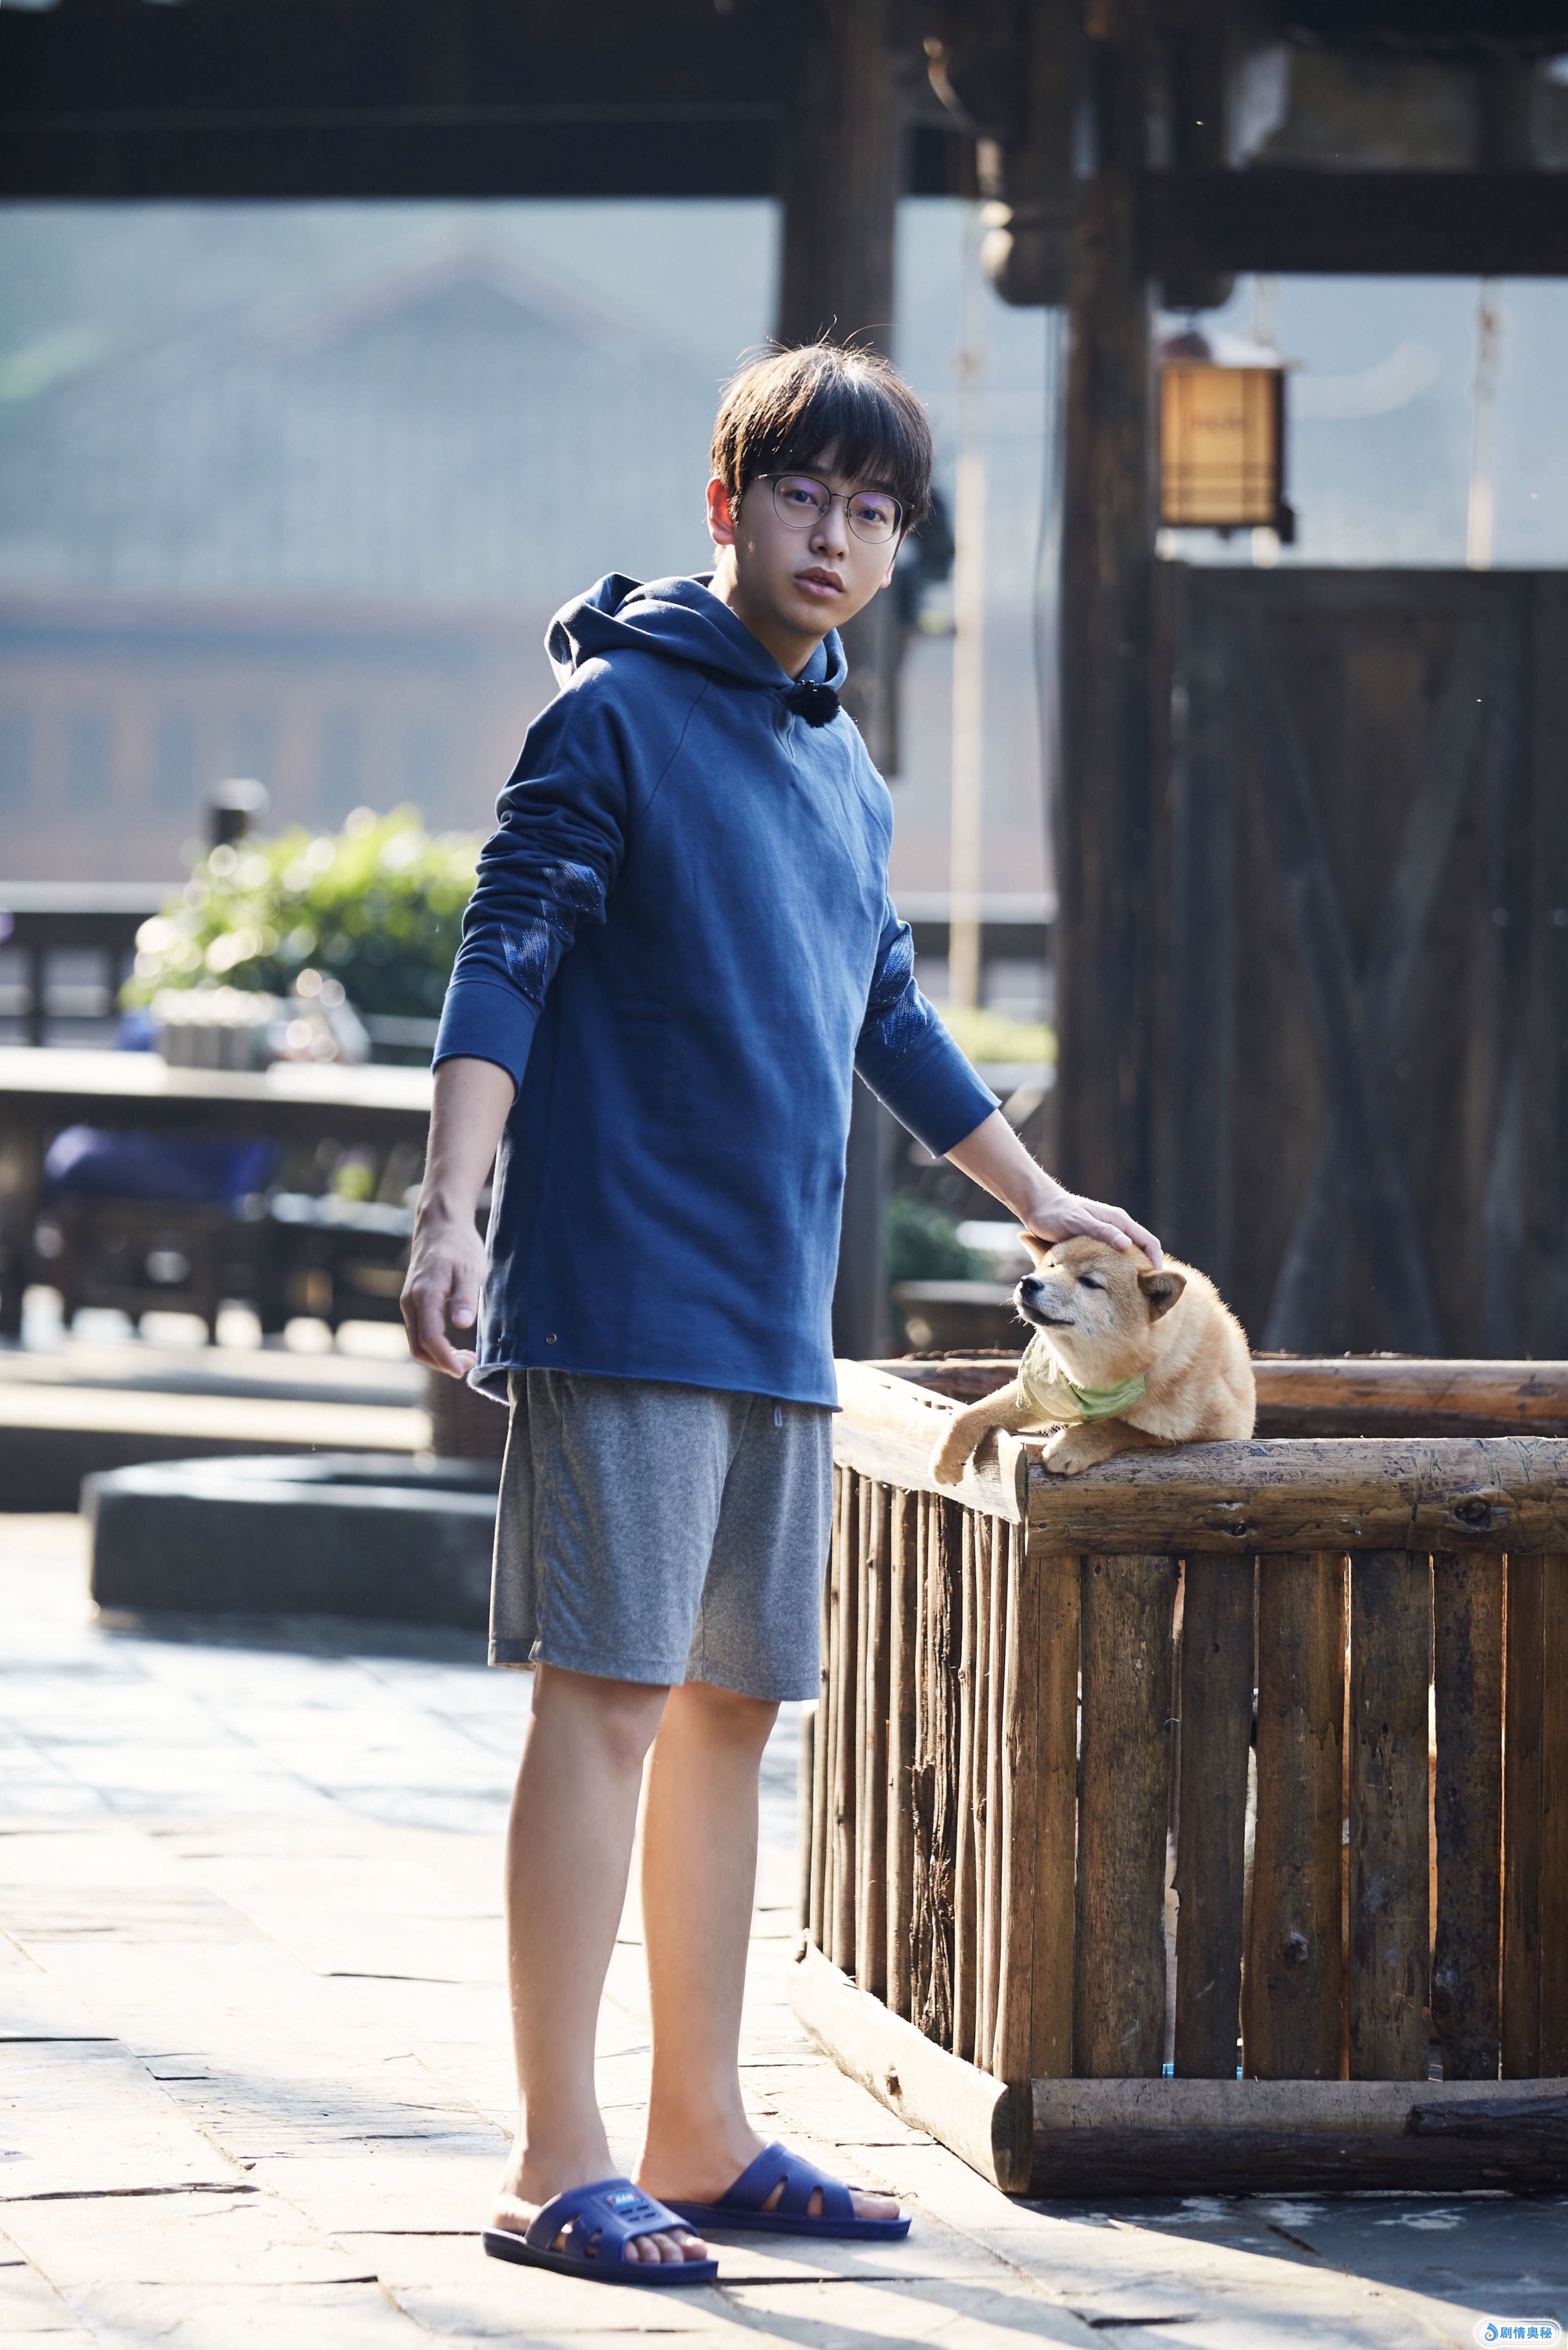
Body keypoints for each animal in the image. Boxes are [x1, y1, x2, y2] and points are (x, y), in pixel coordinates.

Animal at [930, 1232, 1255, 1485]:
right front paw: (946, 1456)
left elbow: (1124, 1428)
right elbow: (975, 1411)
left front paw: (1074, 1443)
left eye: (1089, 1282)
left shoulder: (1219, 1434)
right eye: (1052, 1266)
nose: (1028, 1282)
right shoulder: (1047, 1389)